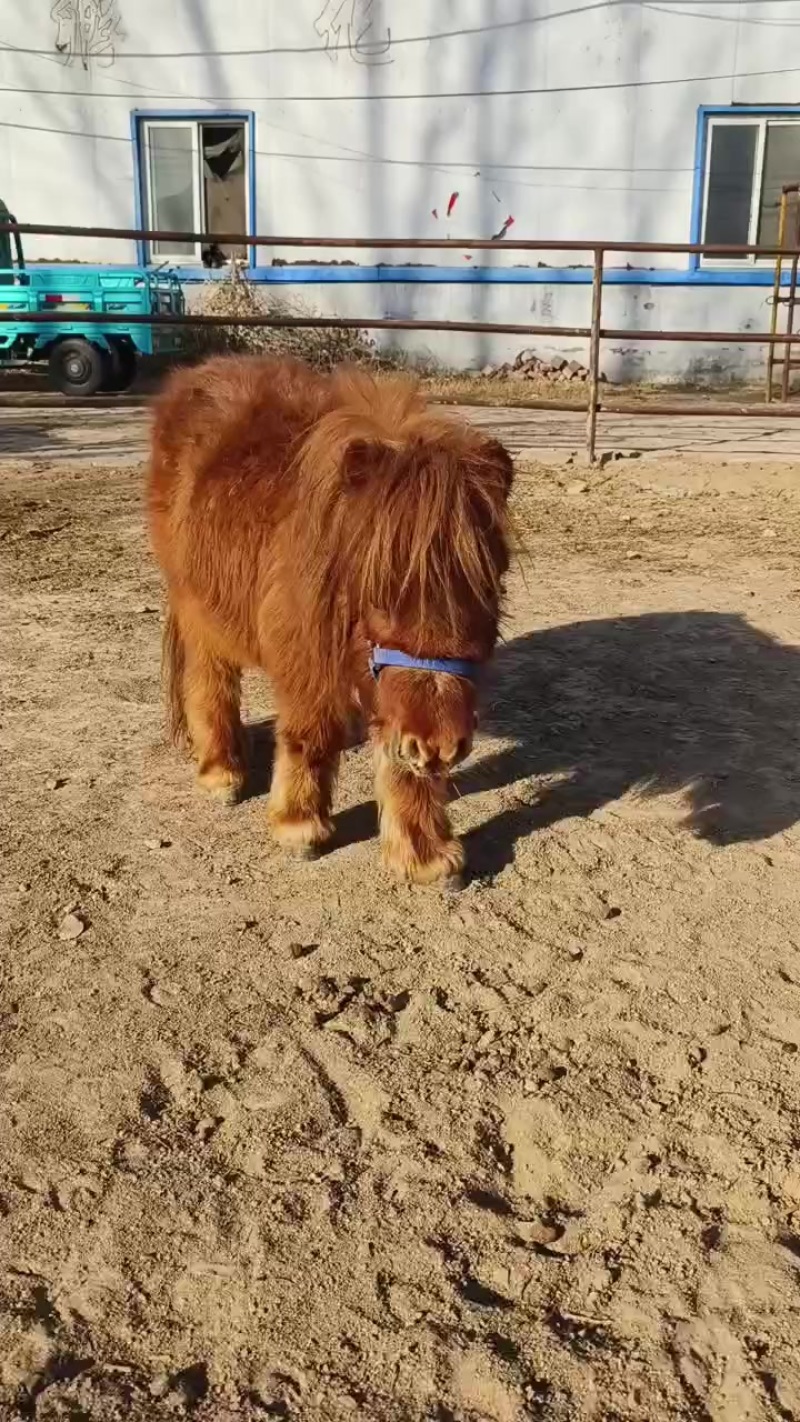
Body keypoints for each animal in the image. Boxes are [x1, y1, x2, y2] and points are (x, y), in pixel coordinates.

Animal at [147, 355, 513, 884]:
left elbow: (402, 763)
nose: (440, 746)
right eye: (379, 592)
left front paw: (424, 854)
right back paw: (222, 772)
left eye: (491, 583)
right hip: (199, 607)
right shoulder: (304, 656)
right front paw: (299, 827)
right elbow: (310, 735)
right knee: (209, 681)